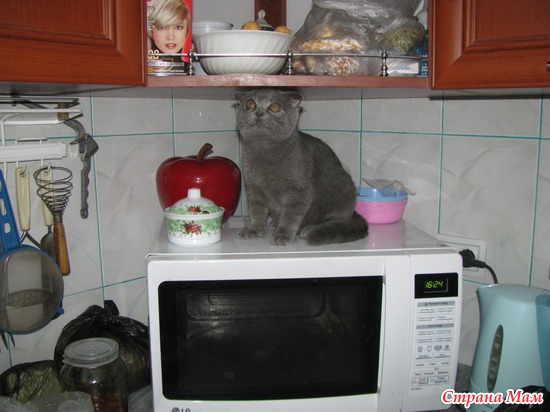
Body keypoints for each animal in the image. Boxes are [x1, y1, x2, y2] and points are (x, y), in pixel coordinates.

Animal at [235, 88, 368, 246]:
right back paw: (275, 223)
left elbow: (290, 216)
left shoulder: (298, 191)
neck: (265, 151)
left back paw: (308, 228)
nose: (259, 113)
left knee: (335, 220)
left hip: (343, 193)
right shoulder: (254, 189)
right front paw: (253, 230)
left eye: (275, 107)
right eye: (250, 104)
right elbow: (256, 212)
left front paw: (283, 235)